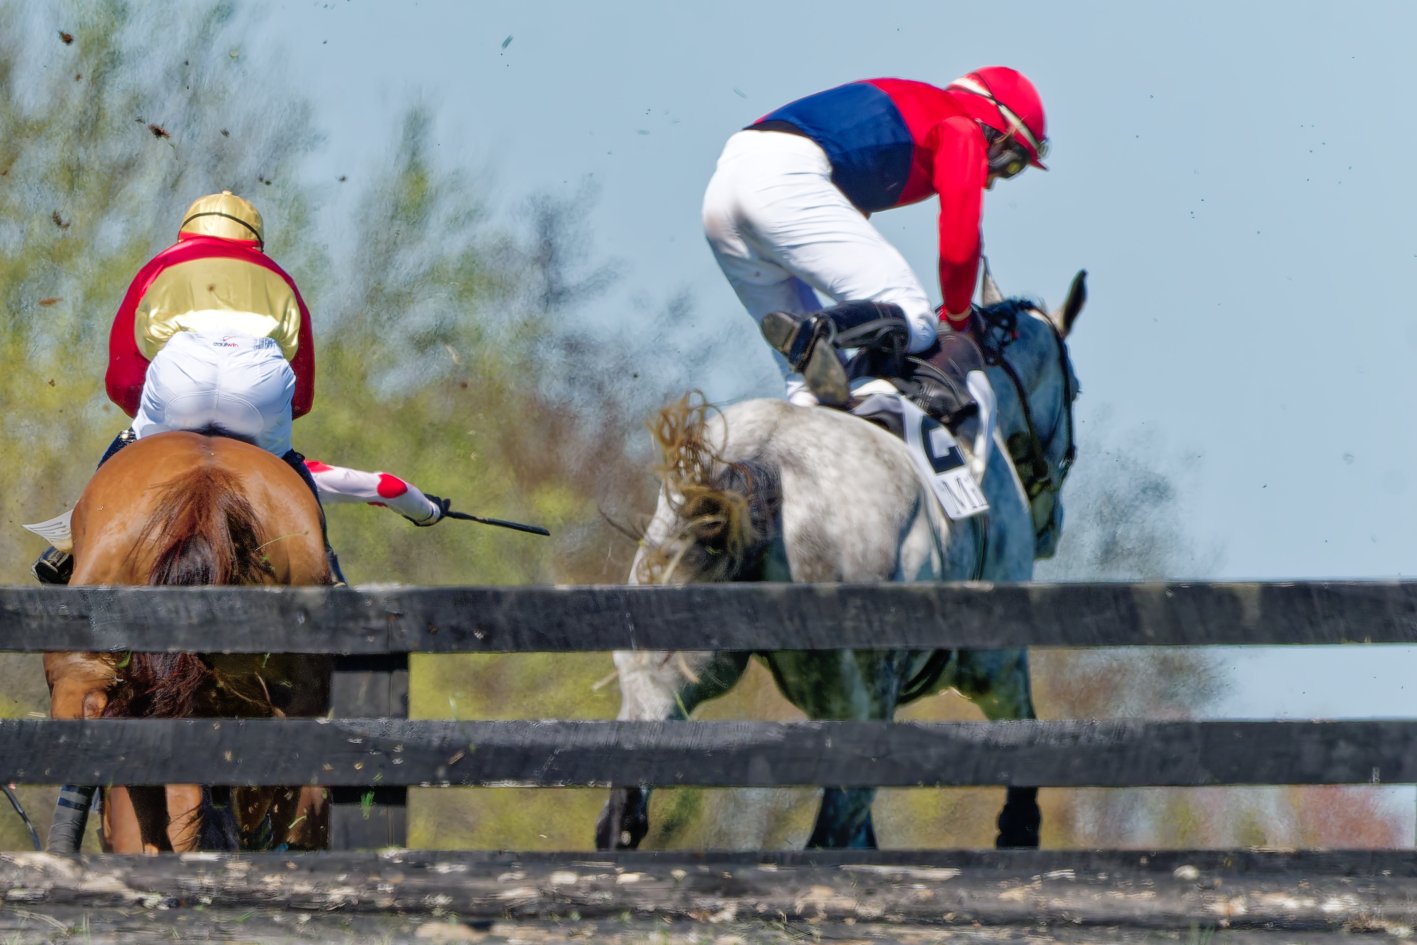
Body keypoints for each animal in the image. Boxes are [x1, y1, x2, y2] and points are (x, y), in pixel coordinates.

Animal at [596, 270, 1085, 850]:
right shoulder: (996, 667)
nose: (1053, 527)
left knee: (624, 815)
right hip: (865, 708)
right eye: (1076, 389)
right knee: (827, 837)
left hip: (672, 678)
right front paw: (1018, 829)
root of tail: (764, 456)